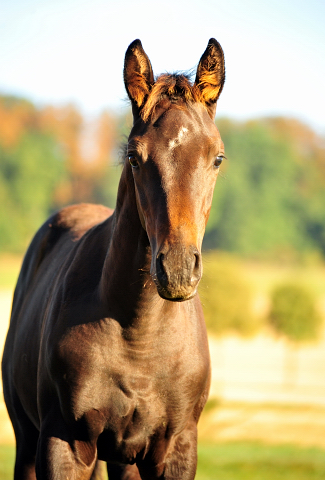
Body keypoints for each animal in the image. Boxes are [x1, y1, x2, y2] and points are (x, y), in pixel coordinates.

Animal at [2, 38, 225, 480]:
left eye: (217, 158)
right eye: (134, 157)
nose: (176, 269)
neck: (137, 334)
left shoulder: (177, 449)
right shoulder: (64, 444)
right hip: (28, 441)